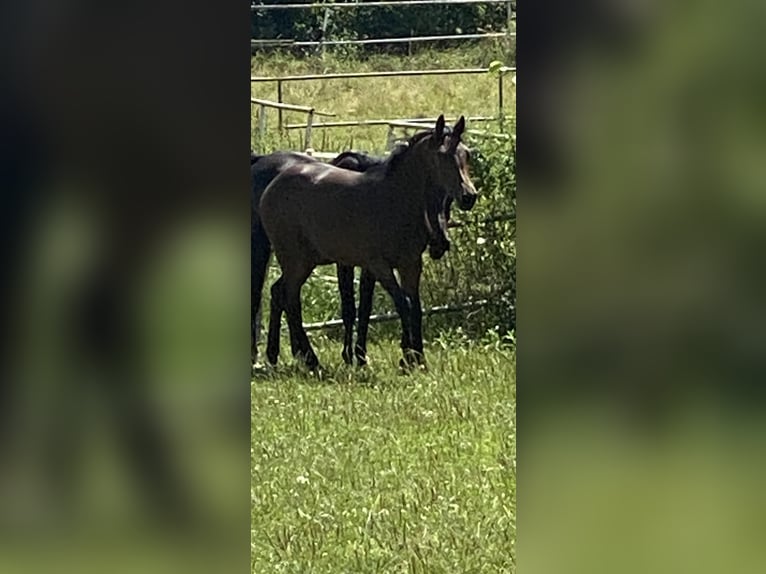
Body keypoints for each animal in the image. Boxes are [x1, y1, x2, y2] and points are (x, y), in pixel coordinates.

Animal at [260, 115, 476, 372]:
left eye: (466, 154)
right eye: (442, 156)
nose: (469, 196)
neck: (394, 198)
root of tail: (272, 186)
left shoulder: (410, 264)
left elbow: (415, 307)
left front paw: (417, 358)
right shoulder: (379, 266)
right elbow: (402, 304)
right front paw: (408, 359)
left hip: (305, 261)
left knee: (279, 293)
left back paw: (275, 355)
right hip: (296, 261)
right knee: (290, 299)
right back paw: (311, 361)